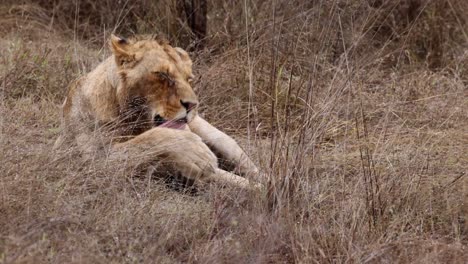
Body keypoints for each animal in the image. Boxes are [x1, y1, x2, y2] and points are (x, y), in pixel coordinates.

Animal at [54, 34, 262, 190]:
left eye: (189, 79)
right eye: (163, 75)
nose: (192, 105)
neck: (132, 119)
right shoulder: (91, 160)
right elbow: (150, 139)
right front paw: (195, 150)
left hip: (218, 137)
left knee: (248, 165)